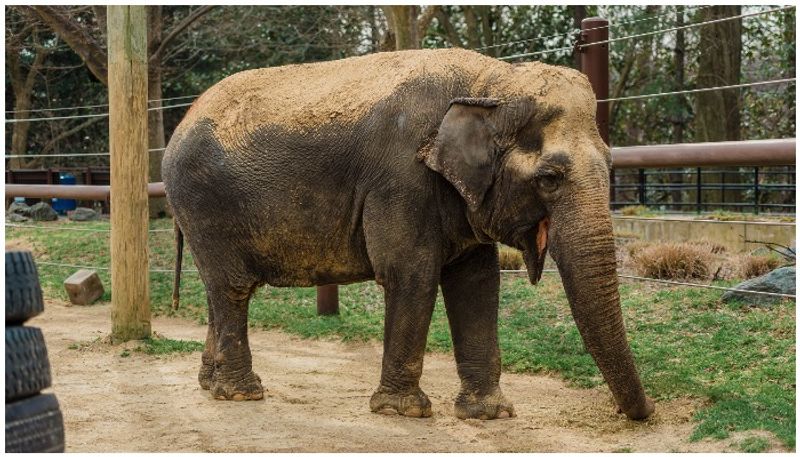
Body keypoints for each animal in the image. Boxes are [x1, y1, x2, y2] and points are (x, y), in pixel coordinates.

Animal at [159, 47, 652, 420]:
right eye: (549, 179)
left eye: (611, 167)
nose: (640, 414)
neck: (489, 82)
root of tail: (181, 122)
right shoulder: (401, 179)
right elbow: (410, 273)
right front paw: (404, 411)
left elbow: (477, 282)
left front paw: (489, 415)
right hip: (204, 203)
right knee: (233, 288)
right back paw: (242, 394)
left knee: (217, 290)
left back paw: (210, 384)